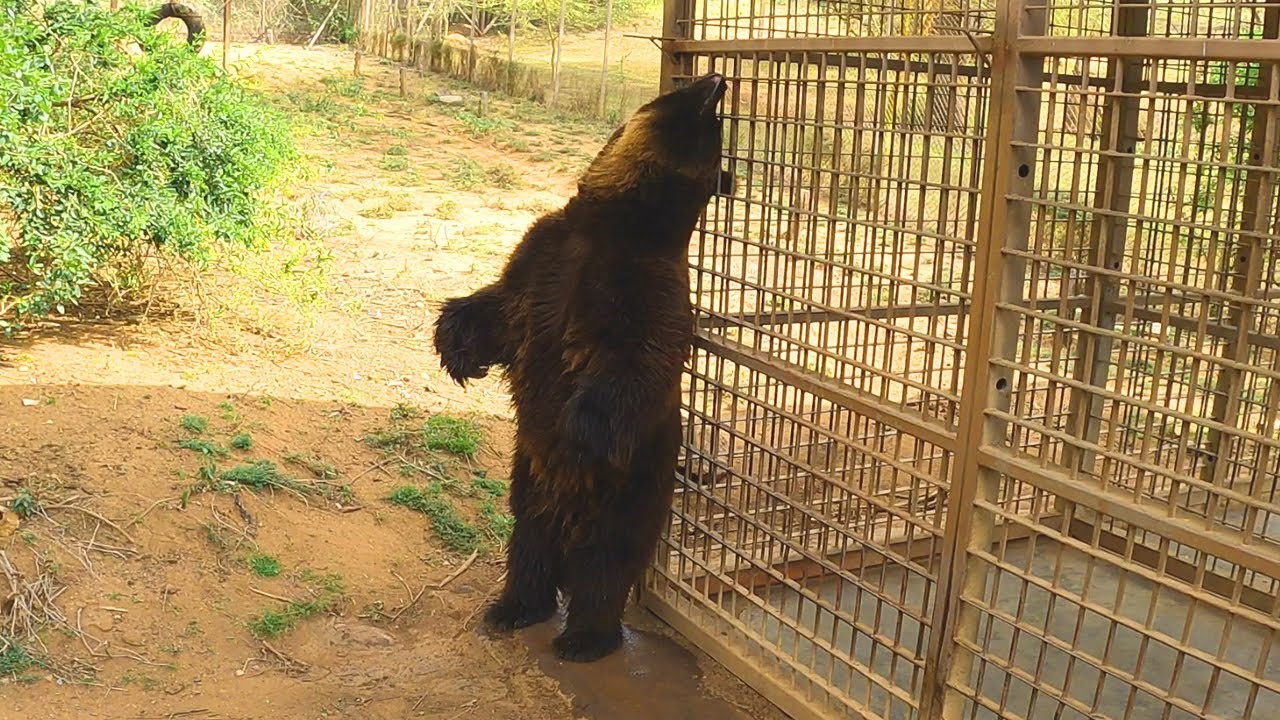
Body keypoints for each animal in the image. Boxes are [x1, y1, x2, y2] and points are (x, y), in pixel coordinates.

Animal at [432, 73, 730, 662]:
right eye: (697, 105)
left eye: (710, 124)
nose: (717, 79)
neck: (618, 224)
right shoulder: (544, 255)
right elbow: (499, 307)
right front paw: (456, 352)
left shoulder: (644, 289)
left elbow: (636, 365)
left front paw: (580, 429)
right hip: (528, 486)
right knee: (528, 545)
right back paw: (513, 607)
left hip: (629, 495)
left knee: (605, 567)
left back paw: (584, 638)